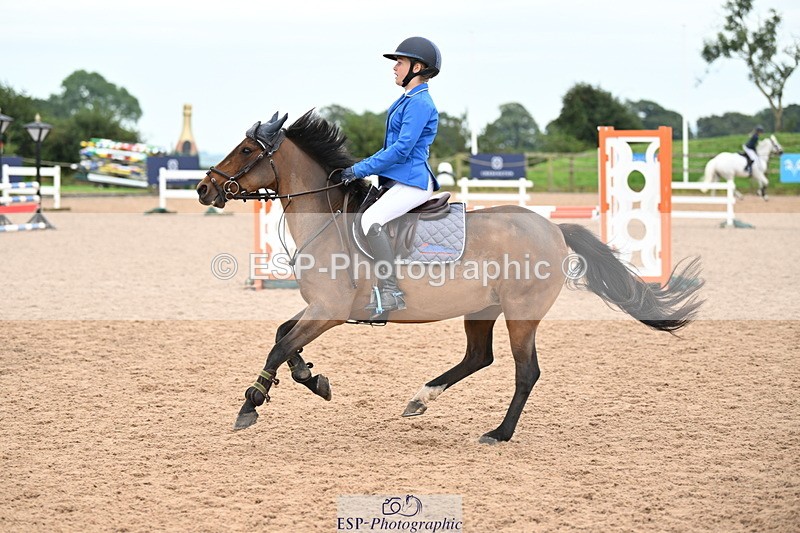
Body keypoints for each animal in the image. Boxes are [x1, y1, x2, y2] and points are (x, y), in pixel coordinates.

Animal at [196, 110, 704, 444]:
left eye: (246, 150)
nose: (204, 188)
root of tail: (553, 228)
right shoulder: (319, 308)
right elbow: (284, 336)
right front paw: (312, 378)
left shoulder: (331, 310)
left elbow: (280, 345)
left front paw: (249, 404)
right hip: (482, 309)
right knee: (479, 357)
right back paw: (420, 400)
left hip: (521, 314)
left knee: (525, 371)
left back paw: (499, 433)